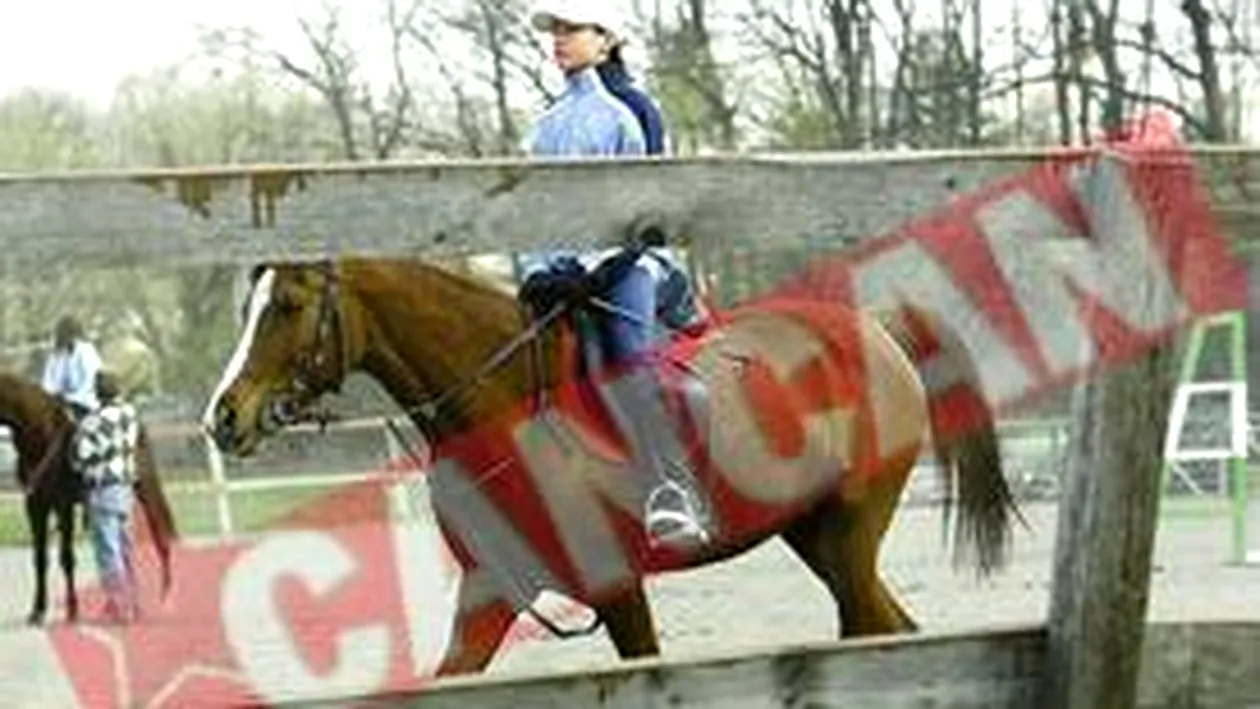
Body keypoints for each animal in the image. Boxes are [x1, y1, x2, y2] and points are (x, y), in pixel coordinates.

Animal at [0, 370, 180, 624]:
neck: (41, 434)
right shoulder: (34, 505)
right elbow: (40, 558)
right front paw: (37, 610)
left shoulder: (63, 505)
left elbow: (66, 557)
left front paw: (72, 608)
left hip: (145, 488)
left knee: (159, 535)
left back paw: (163, 598)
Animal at [201, 258, 1018, 680]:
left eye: (288, 306)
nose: (225, 415)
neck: (504, 406)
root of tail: (875, 328)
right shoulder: (491, 591)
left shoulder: (617, 587)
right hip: (815, 534)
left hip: (851, 530)